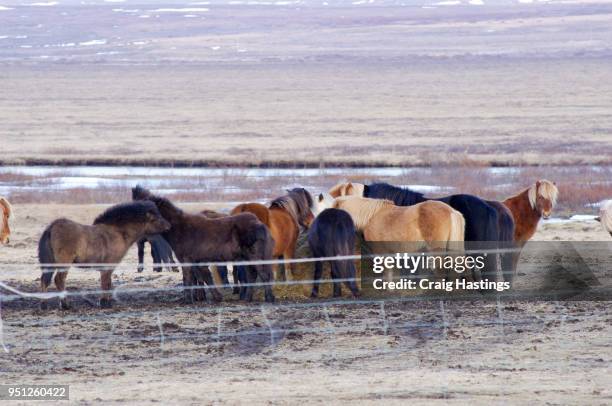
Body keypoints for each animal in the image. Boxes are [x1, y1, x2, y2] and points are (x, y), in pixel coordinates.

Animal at [38, 201, 170, 310]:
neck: (117, 233)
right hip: (64, 262)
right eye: (156, 218)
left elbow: (108, 283)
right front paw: (104, 303)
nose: (169, 226)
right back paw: (66, 305)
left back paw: (44, 304)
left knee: (44, 280)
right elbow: (106, 283)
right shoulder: (108, 265)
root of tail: (52, 227)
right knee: (59, 280)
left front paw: (106, 302)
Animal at [136, 186, 278, 302]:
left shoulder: (186, 260)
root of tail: (259, 224)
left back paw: (269, 298)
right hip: (246, 258)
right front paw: (215, 297)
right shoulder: (198, 261)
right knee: (252, 276)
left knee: (263, 275)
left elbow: (188, 279)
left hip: (254, 256)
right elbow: (205, 278)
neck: (181, 228)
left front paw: (188, 300)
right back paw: (248, 299)